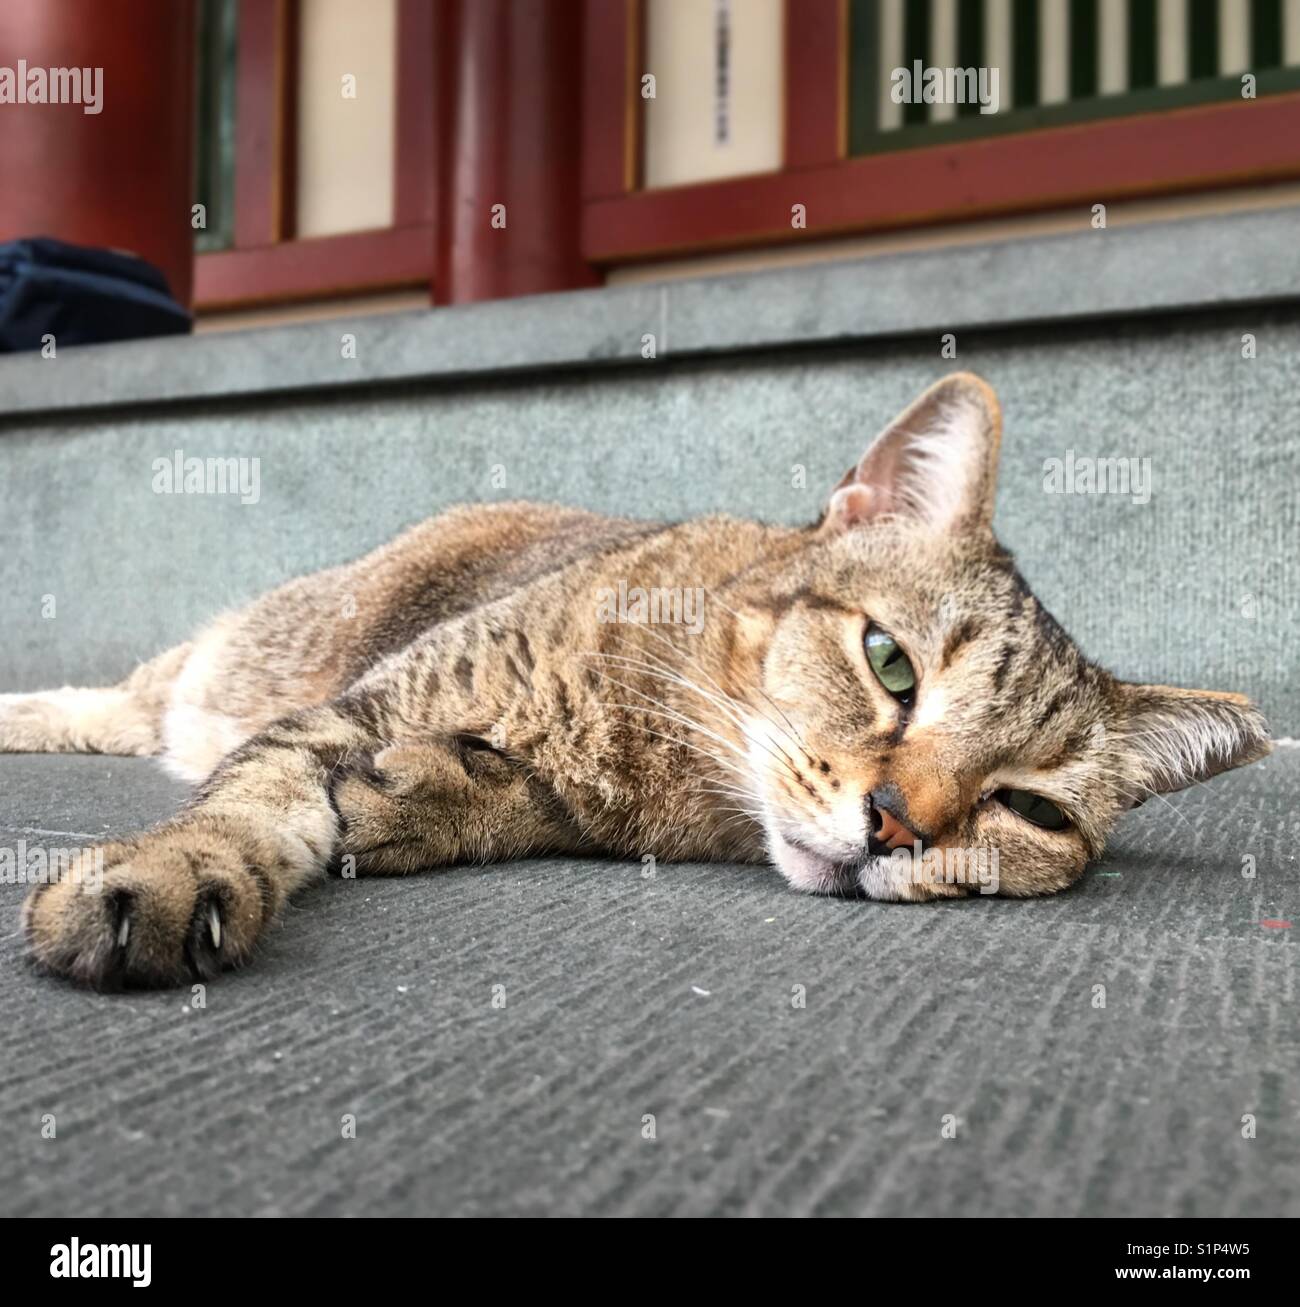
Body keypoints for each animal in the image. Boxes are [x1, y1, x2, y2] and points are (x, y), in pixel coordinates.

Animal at [2, 368, 1269, 982]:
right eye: (890, 664)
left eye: (1030, 809)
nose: (897, 825)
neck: (667, 748)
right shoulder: (357, 700)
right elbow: (252, 802)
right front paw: (175, 870)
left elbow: (521, 801)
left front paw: (440, 795)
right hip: (237, 651)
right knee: (116, 701)